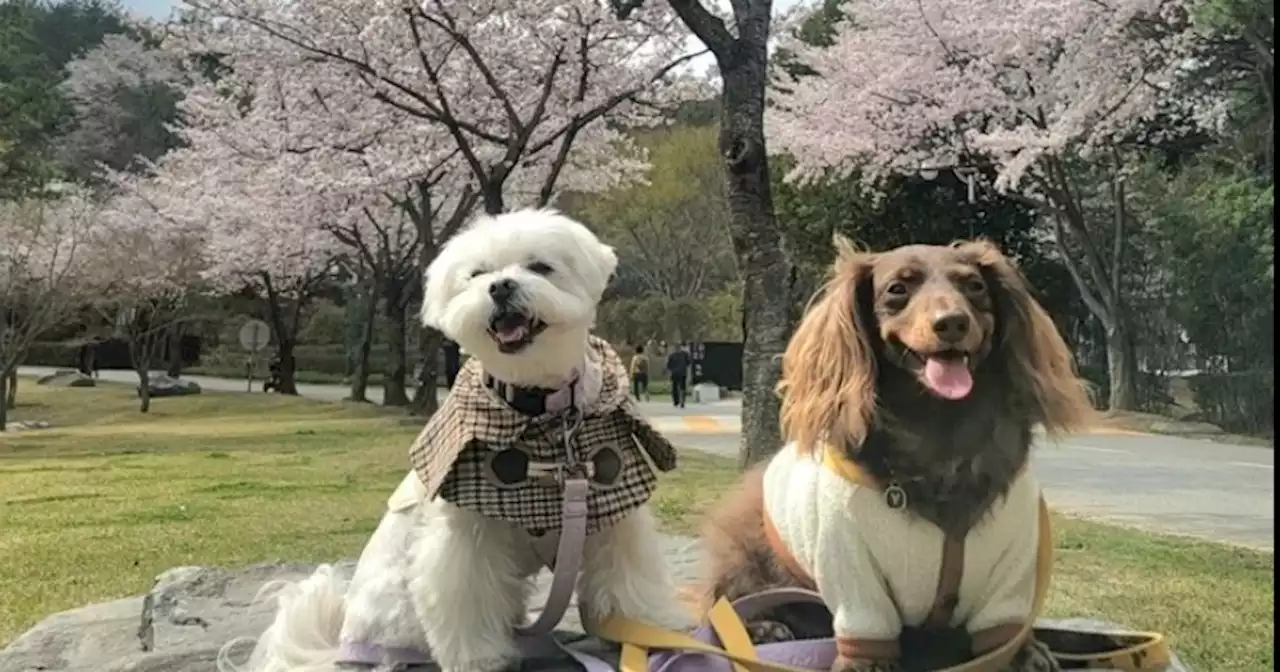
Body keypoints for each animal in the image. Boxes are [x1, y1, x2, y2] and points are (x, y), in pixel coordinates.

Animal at [225, 207, 696, 665]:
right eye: (477, 274)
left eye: (540, 267)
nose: (501, 286)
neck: (541, 412)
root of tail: (340, 644)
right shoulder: (466, 537)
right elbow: (467, 595)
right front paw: (480, 657)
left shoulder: (614, 512)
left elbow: (630, 577)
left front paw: (647, 631)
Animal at [701, 236, 1090, 670]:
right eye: (897, 289)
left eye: (974, 286)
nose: (952, 323)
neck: (941, 431)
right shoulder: (852, 566)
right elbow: (866, 632)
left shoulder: (1011, 564)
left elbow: (1004, 630)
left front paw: (1025, 653)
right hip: (744, 555)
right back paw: (766, 628)